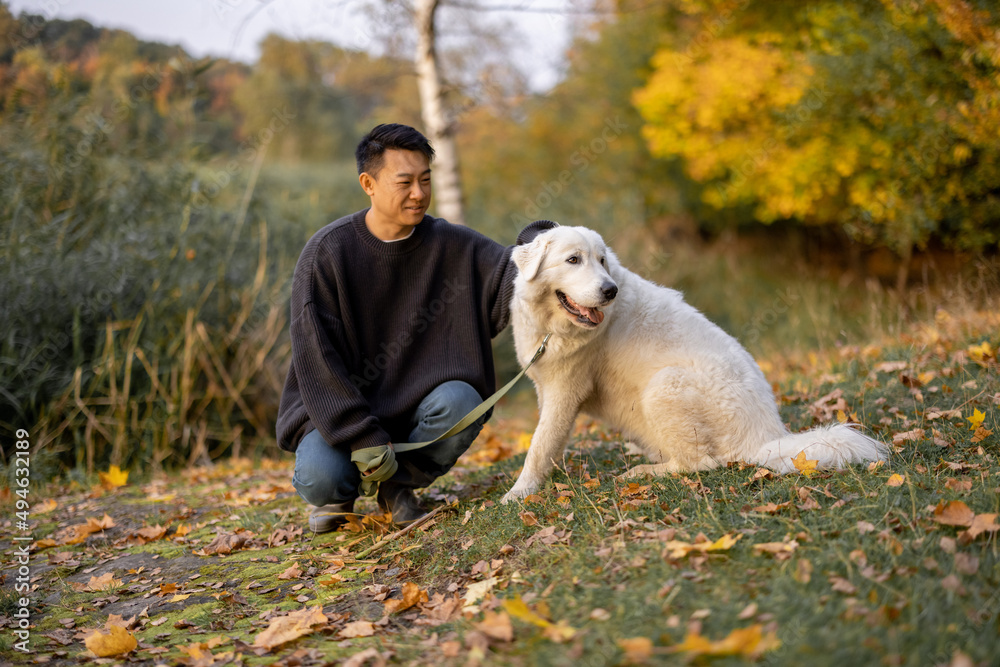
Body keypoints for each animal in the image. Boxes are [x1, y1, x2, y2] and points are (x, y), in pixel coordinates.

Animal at [504, 224, 888, 500]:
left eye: (601, 260)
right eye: (573, 260)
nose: (610, 290)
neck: (551, 325)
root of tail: (767, 437)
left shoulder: (564, 391)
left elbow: (538, 445)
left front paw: (518, 493)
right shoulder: (548, 389)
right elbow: (549, 441)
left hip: (663, 385)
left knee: (701, 463)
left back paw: (643, 472)